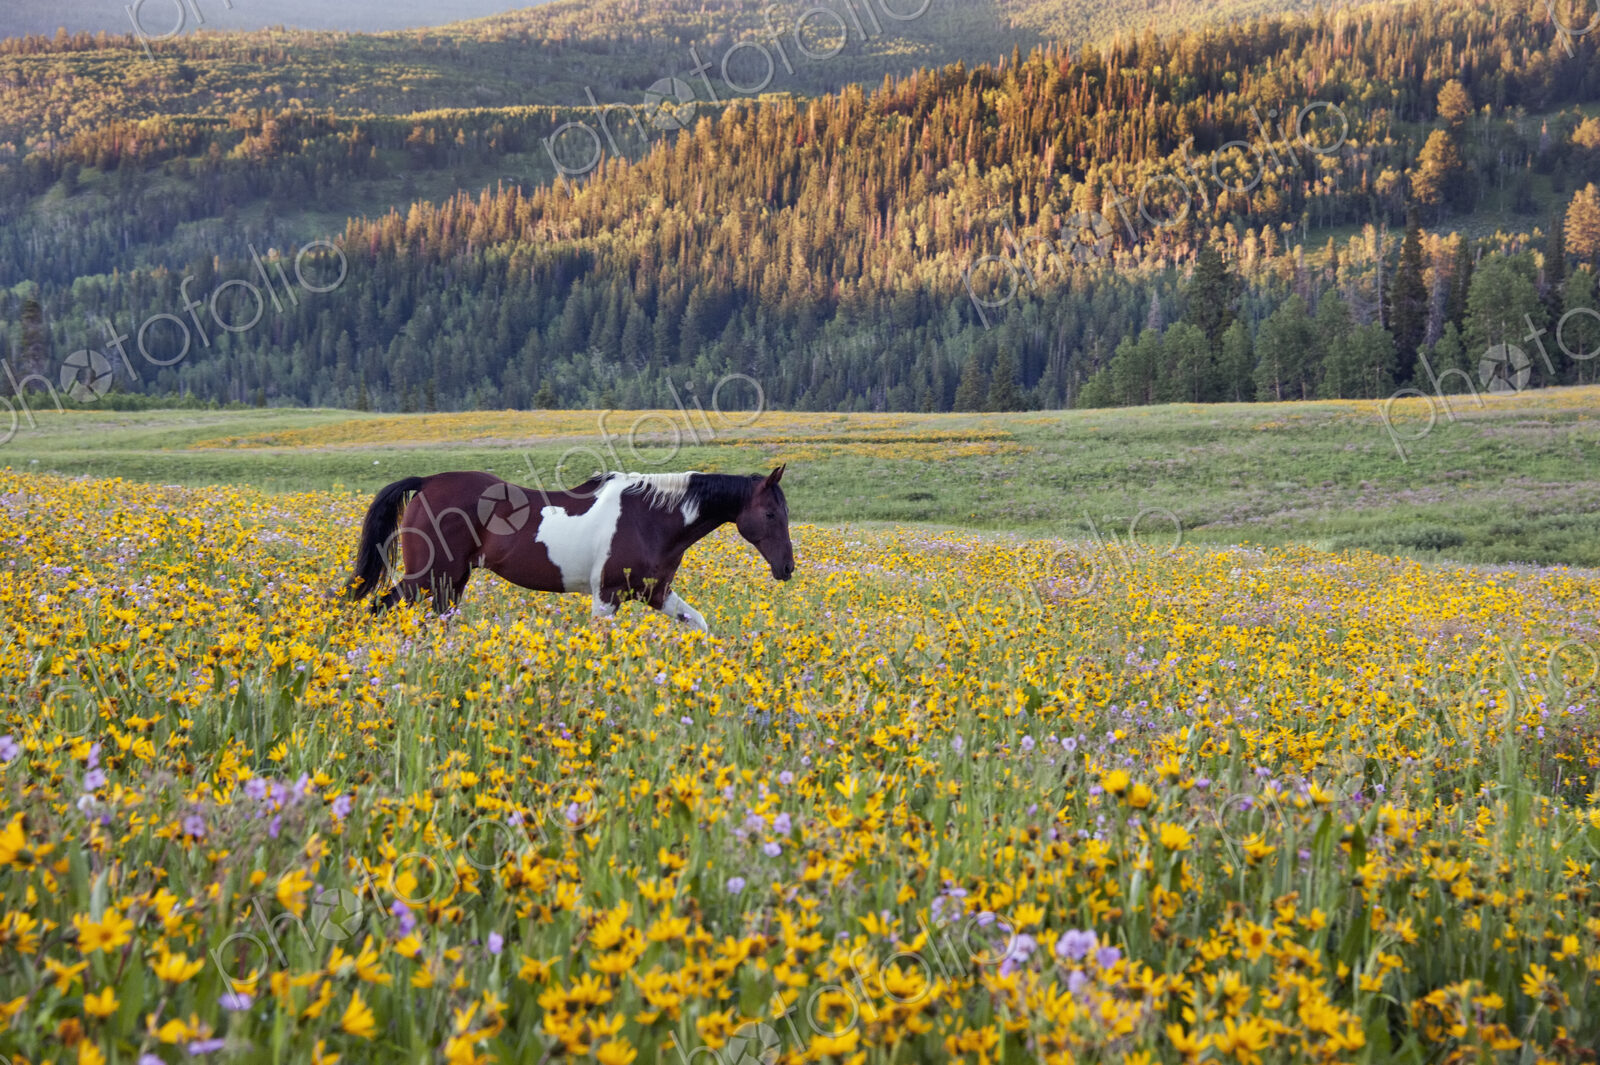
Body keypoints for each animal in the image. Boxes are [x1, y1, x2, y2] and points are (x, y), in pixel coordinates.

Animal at [342, 466, 791, 632]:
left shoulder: (656, 593)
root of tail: (427, 482)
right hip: (427, 577)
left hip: (450, 582)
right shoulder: (607, 595)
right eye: (771, 514)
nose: (786, 568)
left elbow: (698, 622)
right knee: (378, 607)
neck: (651, 518)